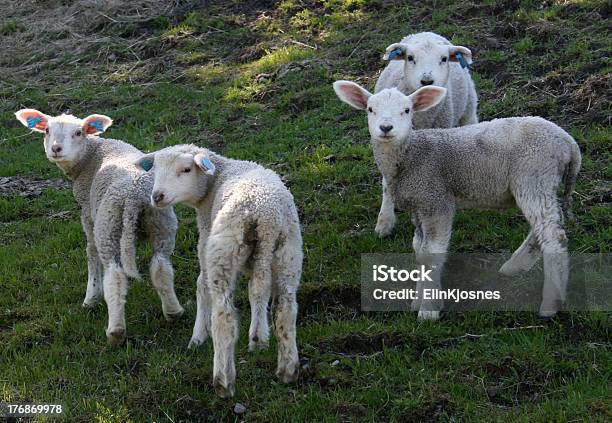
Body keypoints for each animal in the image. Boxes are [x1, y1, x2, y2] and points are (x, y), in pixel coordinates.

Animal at [14, 110, 184, 348]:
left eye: (78, 132)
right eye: (47, 130)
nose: (56, 149)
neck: (91, 155)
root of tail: (133, 195)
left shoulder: (87, 211)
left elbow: (90, 252)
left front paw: (91, 297)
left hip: (108, 224)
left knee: (114, 275)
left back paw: (115, 331)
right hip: (162, 222)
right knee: (161, 267)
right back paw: (173, 312)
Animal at [136, 145, 304, 398]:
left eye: (186, 169)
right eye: (154, 170)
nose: (157, 196)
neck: (216, 179)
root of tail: (264, 214)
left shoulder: (205, 236)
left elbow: (201, 285)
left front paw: (197, 337)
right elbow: (257, 293)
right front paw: (259, 338)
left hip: (222, 249)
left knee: (224, 316)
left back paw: (222, 381)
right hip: (288, 252)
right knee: (285, 307)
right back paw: (287, 370)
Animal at [332, 82, 580, 322]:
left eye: (407, 110)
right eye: (370, 109)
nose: (385, 128)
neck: (410, 155)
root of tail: (568, 142)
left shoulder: (436, 200)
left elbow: (431, 252)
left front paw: (428, 311)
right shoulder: (419, 205)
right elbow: (419, 251)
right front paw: (420, 300)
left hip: (534, 176)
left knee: (552, 236)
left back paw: (550, 304)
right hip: (540, 183)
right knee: (544, 228)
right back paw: (515, 266)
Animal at [372, 32, 478, 238]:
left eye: (444, 59)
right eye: (410, 58)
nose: (427, 81)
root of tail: (427, 33)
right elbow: (387, 184)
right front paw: (384, 222)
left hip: (469, 110)